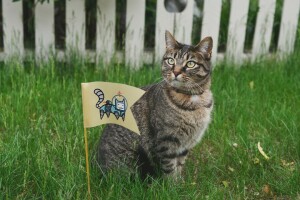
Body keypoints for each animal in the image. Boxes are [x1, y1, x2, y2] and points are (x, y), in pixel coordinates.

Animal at [95, 30, 214, 179]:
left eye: (191, 64)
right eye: (171, 61)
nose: (176, 72)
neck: (192, 98)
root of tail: (97, 166)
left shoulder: (185, 145)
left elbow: (179, 165)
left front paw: (180, 182)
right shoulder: (166, 141)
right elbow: (170, 168)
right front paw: (172, 184)